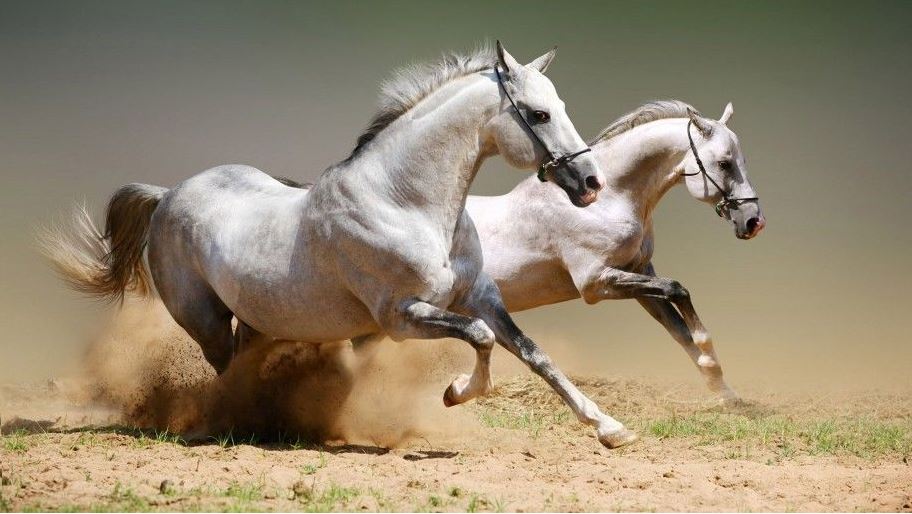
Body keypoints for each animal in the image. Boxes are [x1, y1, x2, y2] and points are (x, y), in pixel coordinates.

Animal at [42, 42, 640, 446]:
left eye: (559, 105)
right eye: (538, 114)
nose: (590, 183)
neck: (405, 203)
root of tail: (167, 195)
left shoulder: (480, 297)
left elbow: (534, 354)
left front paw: (610, 427)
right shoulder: (401, 317)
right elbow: (481, 339)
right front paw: (454, 392)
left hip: (257, 319)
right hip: (205, 320)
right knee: (225, 371)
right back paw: (234, 423)